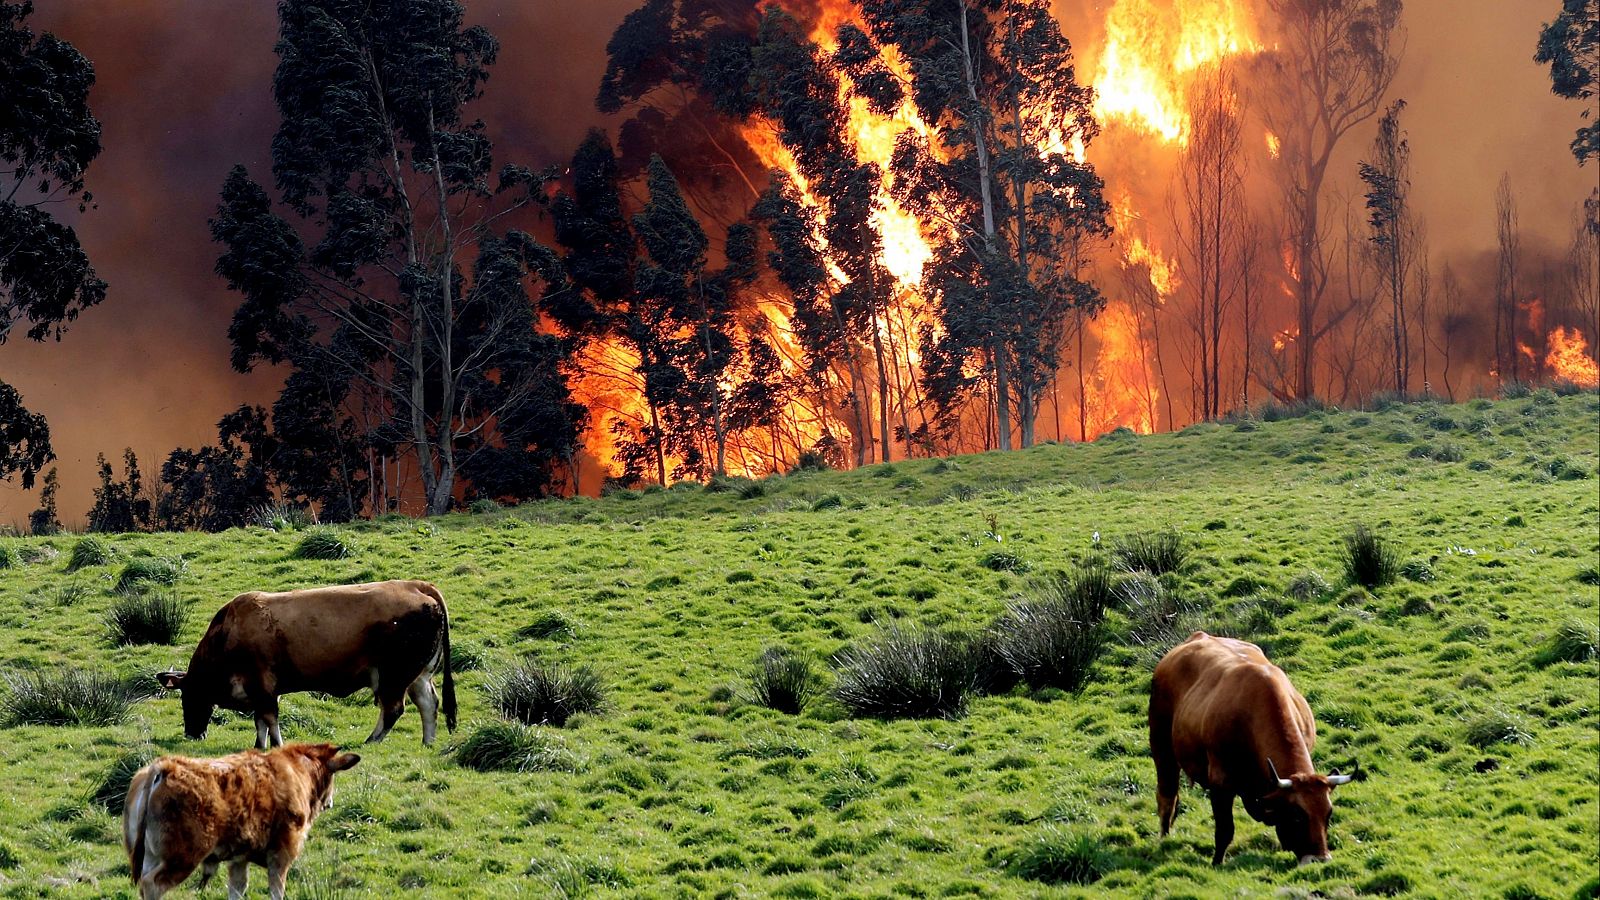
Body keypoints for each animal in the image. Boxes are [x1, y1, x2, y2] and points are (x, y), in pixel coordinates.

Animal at [120, 739, 360, 890]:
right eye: (333, 776)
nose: (330, 802)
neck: (296, 770)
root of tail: (165, 767)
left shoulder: (239, 860)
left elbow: (237, 889)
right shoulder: (281, 854)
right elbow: (276, 890)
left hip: (150, 857)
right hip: (181, 858)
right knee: (153, 885)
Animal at [156, 576, 454, 746]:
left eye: (188, 697)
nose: (192, 733)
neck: (228, 633)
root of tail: (416, 585)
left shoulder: (262, 686)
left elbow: (269, 719)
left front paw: (276, 745)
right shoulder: (262, 691)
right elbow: (260, 722)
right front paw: (259, 746)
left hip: (394, 675)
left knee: (393, 709)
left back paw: (371, 741)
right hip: (419, 674)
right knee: (428, 703)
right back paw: (427, 742)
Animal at [1145, 627, 1356, 864]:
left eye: (1329, 813)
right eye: (1298, 815)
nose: (1319, 859)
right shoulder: (1220, 782)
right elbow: (1225, 830)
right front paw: (1217, 862)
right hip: (1161, 745)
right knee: (1167, 796)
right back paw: (1164, 838)